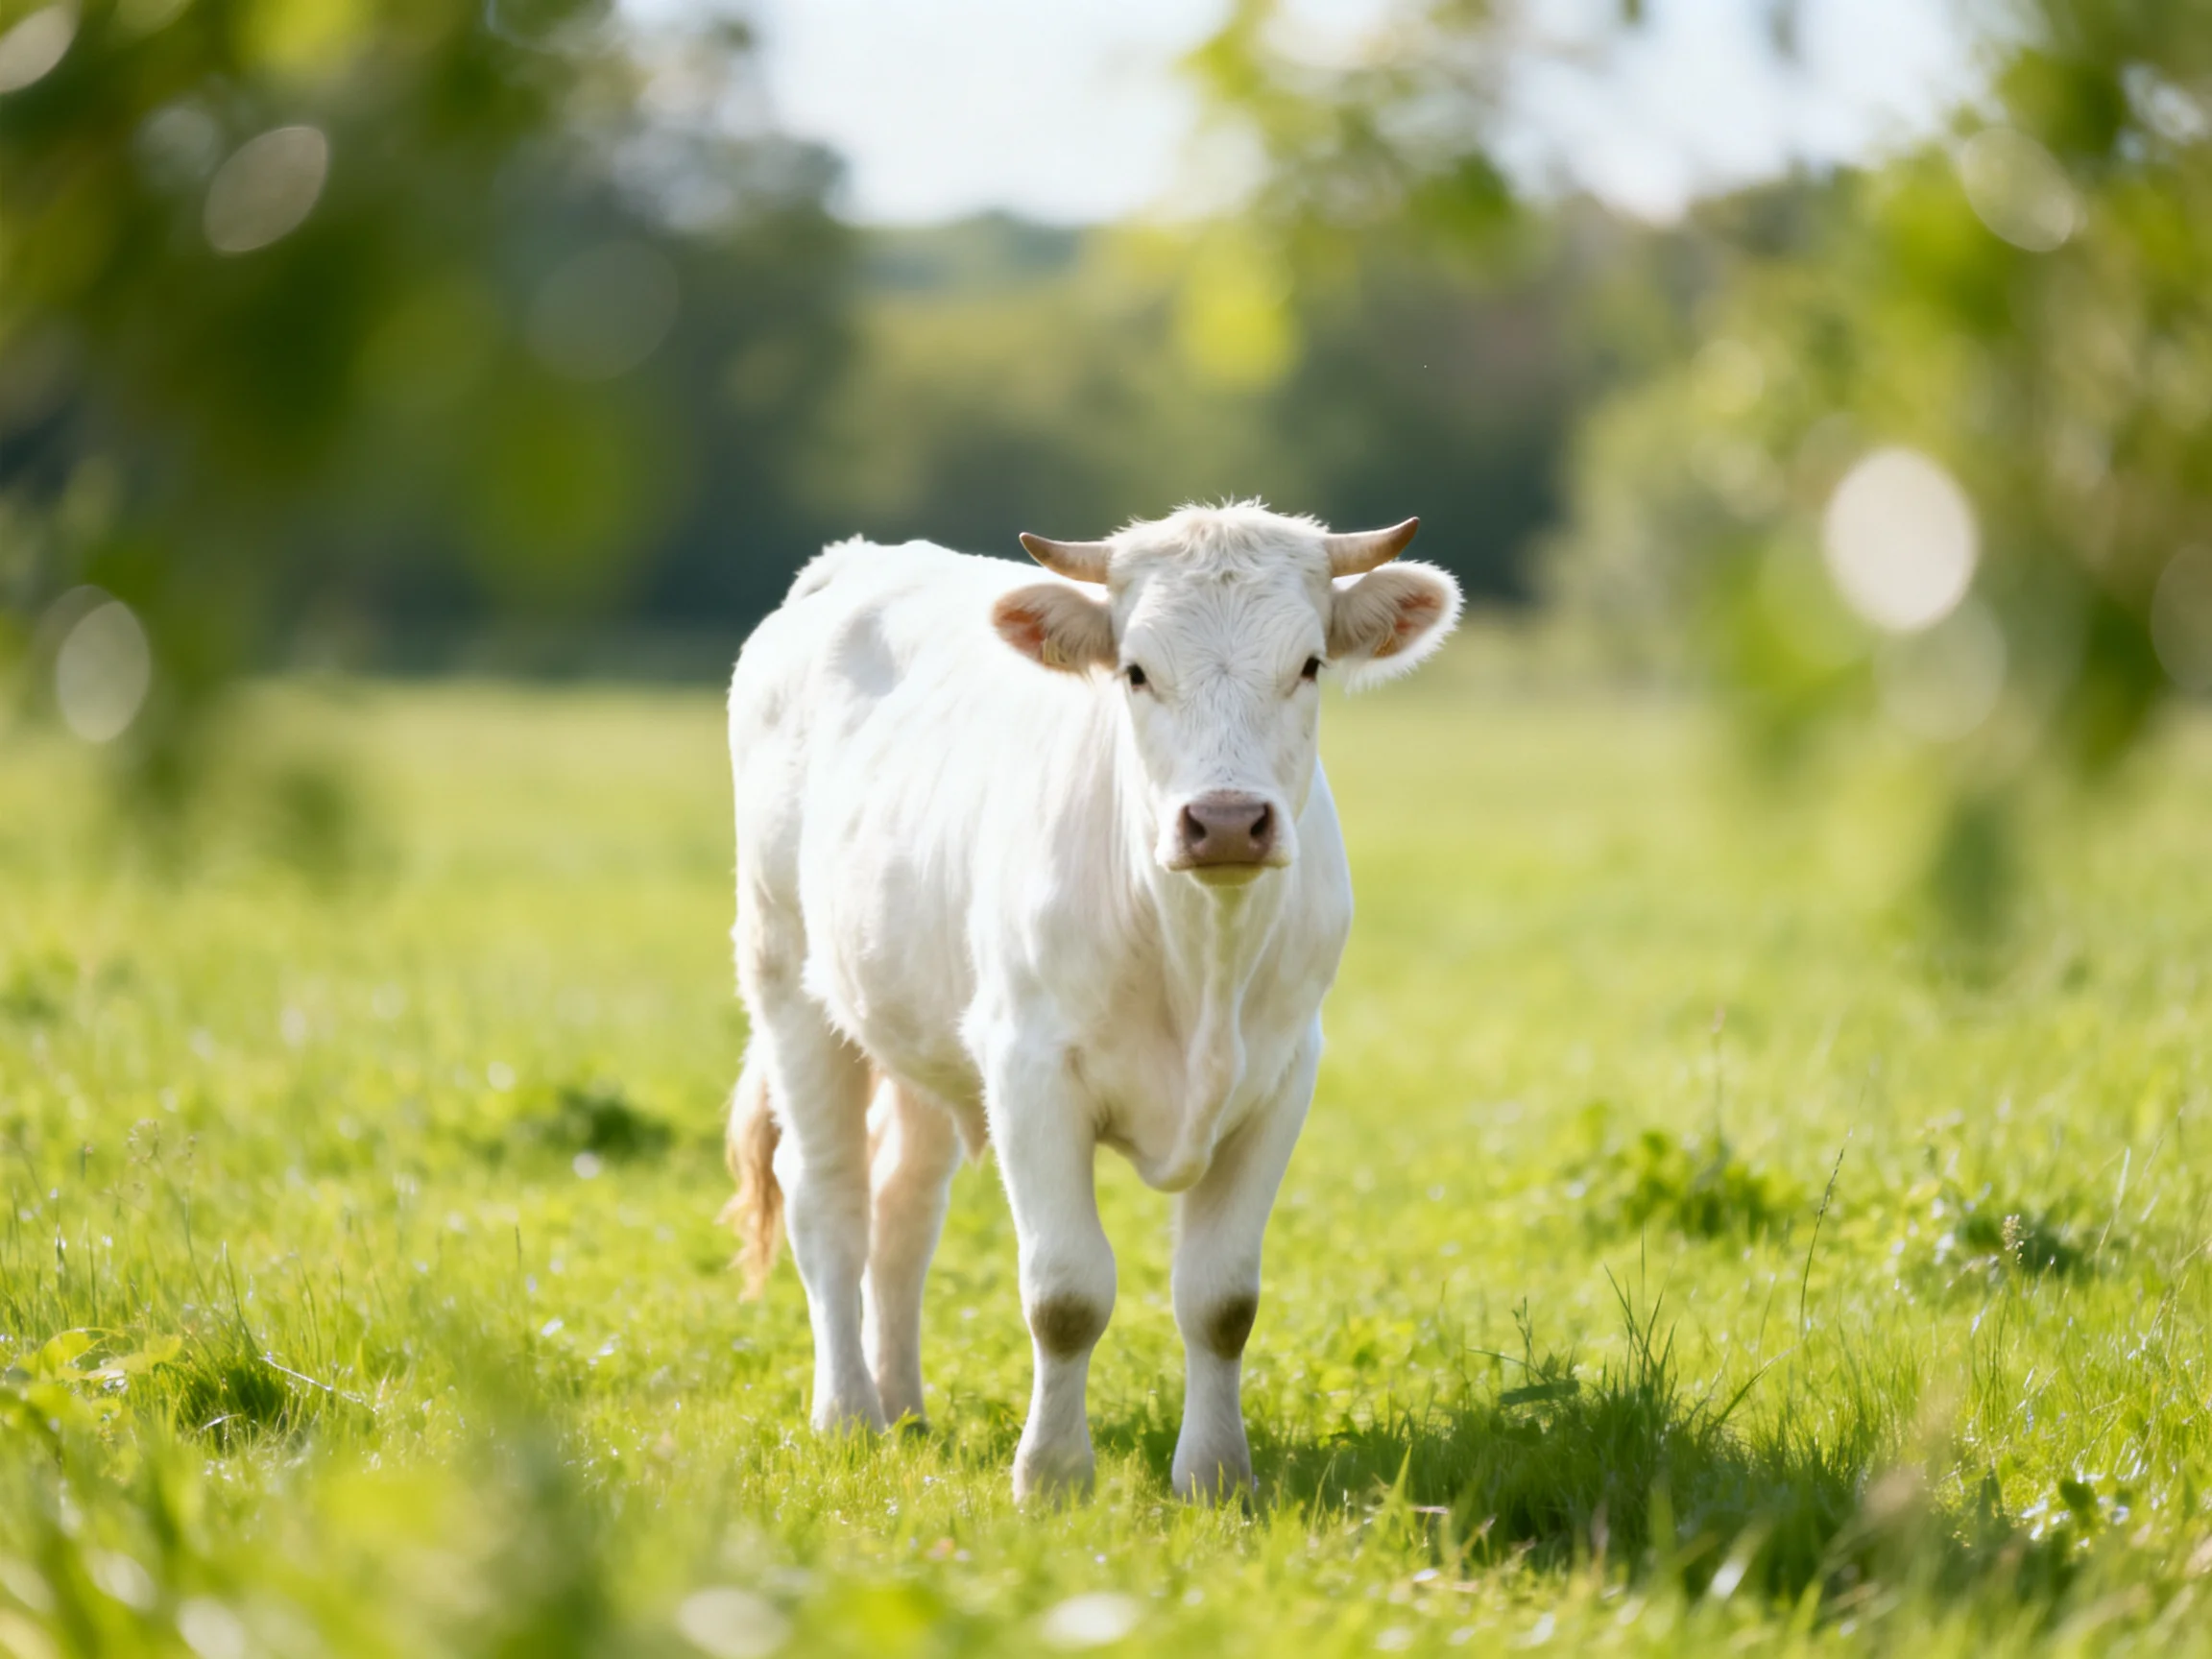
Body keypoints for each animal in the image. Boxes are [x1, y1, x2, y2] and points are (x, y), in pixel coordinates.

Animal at [721, 502, 1461, 1502]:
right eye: (1137, 671)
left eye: (1309, 664)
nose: (1226, 821)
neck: (1200, 957)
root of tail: (853, 559)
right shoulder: (1029, 1070)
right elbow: (1066, 1294)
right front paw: (1053, 1477)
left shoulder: (1283, 1077)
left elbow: (1222, 1300)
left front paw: (1216, 1477)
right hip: (788, 977)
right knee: (828, 1199)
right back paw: (848, 1416)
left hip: (915, 1025)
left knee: (904, 1205)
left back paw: (905, 1404)